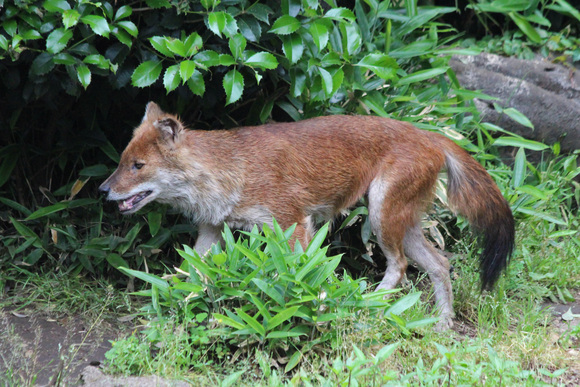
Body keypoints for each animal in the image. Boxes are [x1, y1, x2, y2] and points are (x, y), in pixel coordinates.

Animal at [101, 102, 516, 330]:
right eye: (122, 161)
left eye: (138, 166)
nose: (103, 191)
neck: (231, 170)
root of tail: (429, 134)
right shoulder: (212, 232)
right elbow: (188, 277)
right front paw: (162, 313)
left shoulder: (294, 223)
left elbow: (297, 273)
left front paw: (306, 307)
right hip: (404, 222)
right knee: (440, 263)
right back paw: (443, 324)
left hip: (381, 214)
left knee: (399, 266)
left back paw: (368, 306)